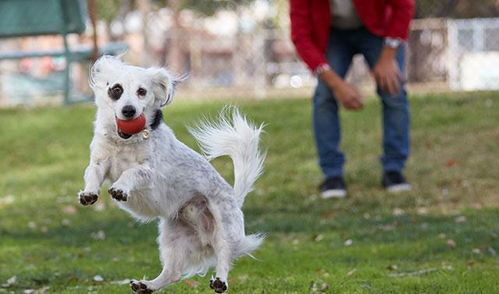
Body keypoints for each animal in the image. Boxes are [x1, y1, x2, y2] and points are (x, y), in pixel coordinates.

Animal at [78, 56, 264, 292]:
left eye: (142, 91)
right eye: (116, 89)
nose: (129, 110)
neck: (125, 141)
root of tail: (235, 197)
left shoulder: (148, 172)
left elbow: (130, 173)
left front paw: (120, 188)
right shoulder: (99, 162)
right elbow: (93, 174)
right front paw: (89, 194)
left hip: (225, 227)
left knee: (224, 255)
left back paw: (220, 281)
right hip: (173, 238)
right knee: (172, 273)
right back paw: (146, 285)